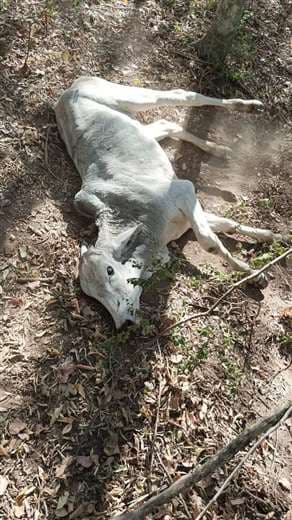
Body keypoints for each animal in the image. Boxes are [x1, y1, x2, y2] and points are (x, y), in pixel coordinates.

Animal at [55, 76, 282, 330]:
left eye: (110, 270)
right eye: (92, 296)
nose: (124, 323)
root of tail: (70, 89)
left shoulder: (183, 190)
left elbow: (209, 241)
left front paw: (254, 273)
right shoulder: (187, 214)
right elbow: (226, 224)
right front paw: (273, 238)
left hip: (129, 97)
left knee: (183, 95)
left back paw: (248, 107)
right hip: (138, 125)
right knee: (167, 124)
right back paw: (219, 149)